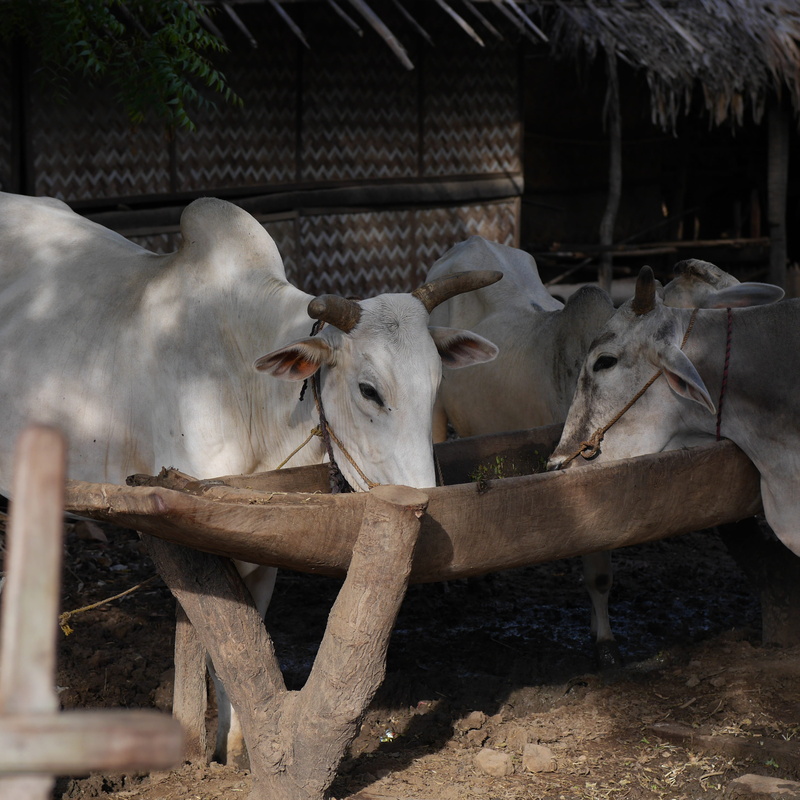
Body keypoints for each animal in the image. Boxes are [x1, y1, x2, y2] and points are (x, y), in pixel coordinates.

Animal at [0, 192, 501, 764]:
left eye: (438, 381)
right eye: (369, 390)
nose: (430, 498)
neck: (246, 384)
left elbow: (248, 638)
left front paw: (237, 747)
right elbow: (224, 641)